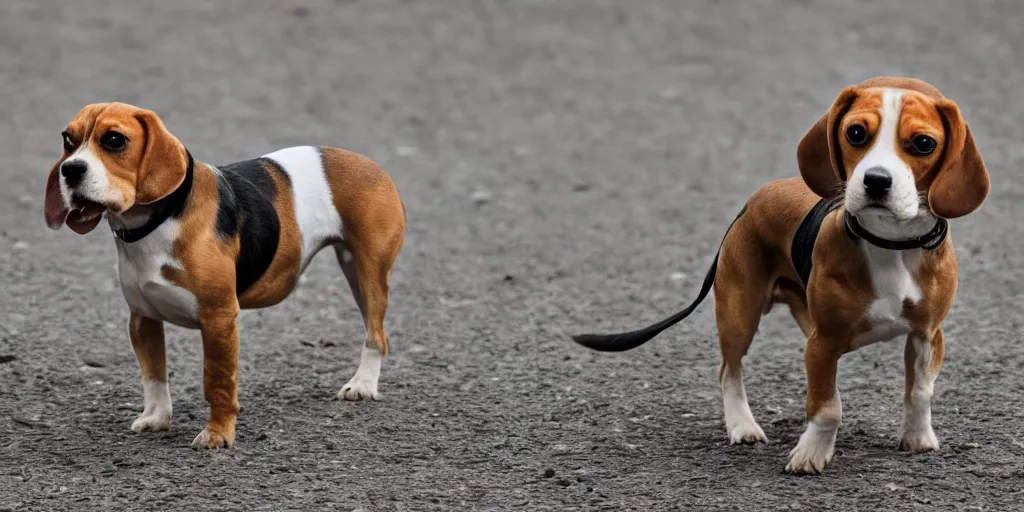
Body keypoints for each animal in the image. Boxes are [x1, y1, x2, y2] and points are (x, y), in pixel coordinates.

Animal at [43, 101, 403, 450]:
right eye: (67, 140)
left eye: (114, 140)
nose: (70, 169)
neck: (159, 221)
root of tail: (372, 165)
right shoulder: (143, 318)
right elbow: (154, 375)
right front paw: (157, 417)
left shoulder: (218, 319)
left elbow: (217, 382)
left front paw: (218, 434)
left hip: (369, 273)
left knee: (376, 335)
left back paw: (362, 385)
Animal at [573, 76, 987, 475]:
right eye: (855, 133)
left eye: (923, 143)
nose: (876, 180)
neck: (890, 244)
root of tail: (752, 200)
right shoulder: (823, 343)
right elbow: (827, 407)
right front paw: (811, 455)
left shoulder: (927, 334)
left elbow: (920, 391)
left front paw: (917, 438)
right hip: (739, 313)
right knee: (728, 370)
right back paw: (742, 426)